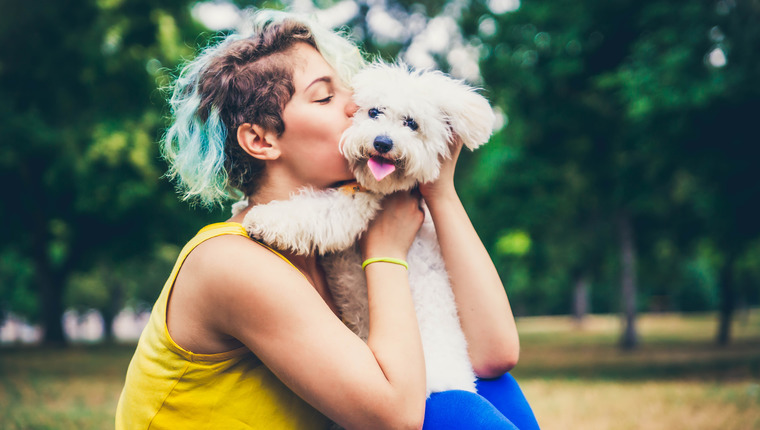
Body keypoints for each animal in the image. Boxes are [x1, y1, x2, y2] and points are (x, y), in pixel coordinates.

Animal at [240, 62, 496, 394]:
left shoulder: (351, 209)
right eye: (374, 112)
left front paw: (263, 220)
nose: (382, 142)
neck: (378, 188)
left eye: (411, 123)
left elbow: (310, 210)